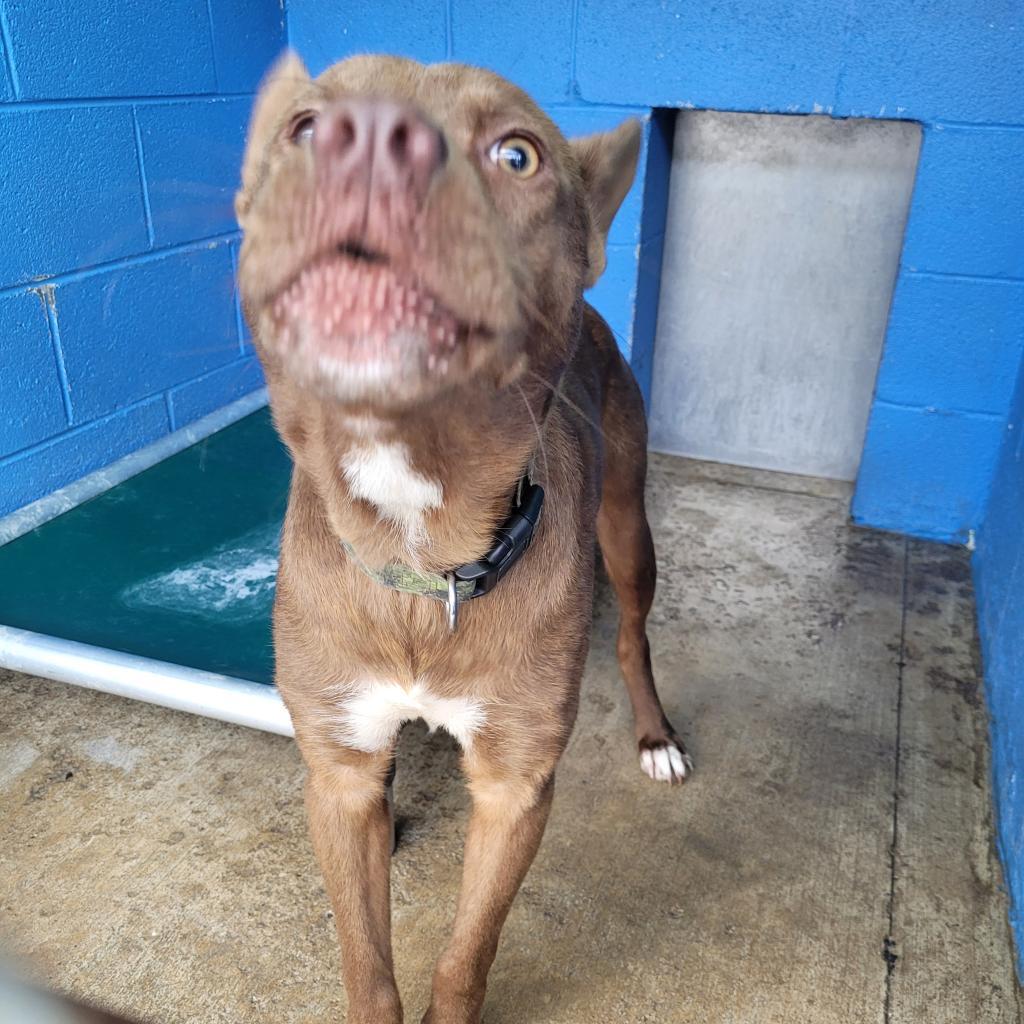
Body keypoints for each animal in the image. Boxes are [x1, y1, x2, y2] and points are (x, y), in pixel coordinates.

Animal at [235, 49, 692, 1024]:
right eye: (303, 126)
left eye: (518, 154)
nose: (370, 139)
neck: (421, 548)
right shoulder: (340, 773)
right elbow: (368, 967)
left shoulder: (515, 786)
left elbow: (463, 959)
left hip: (628, 529)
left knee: (633, 635)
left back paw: (656, 736)